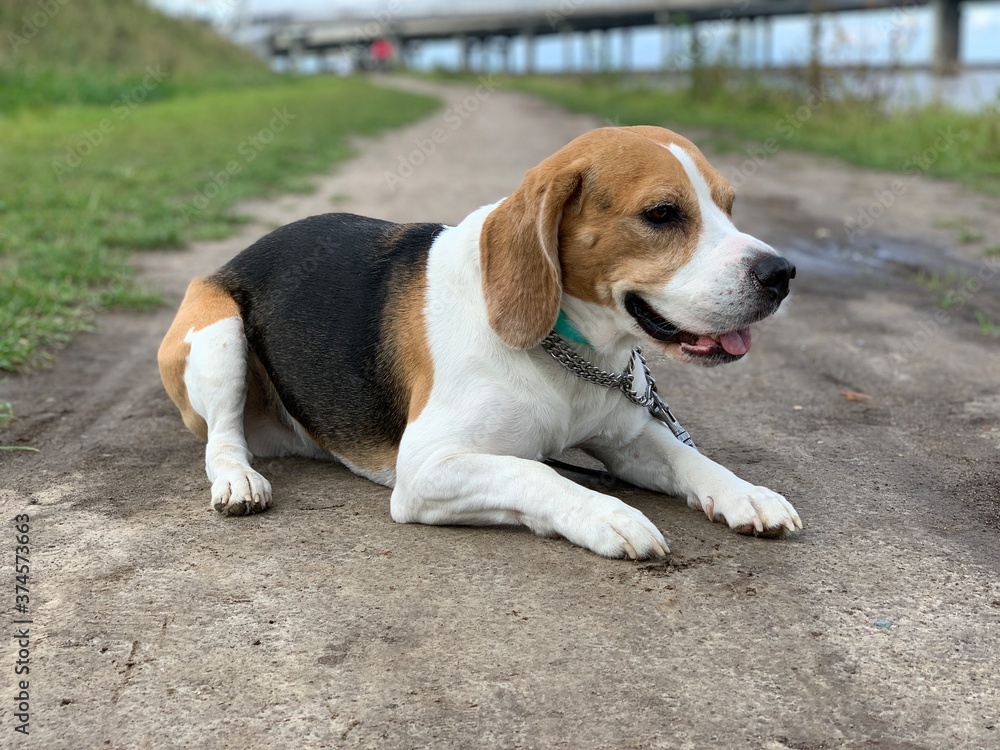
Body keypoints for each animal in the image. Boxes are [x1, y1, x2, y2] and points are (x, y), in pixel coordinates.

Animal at [160, 126, 800, 560]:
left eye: (730, 207)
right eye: (662, 213)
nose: (782, 273)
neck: (569, 352)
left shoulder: (631, 437)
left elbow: (690, 457)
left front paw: (746, 494)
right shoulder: (427, 469)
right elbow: (537, 474)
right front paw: (609, 514)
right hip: (218, 333)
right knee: (222, 439)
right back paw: (238, 480)